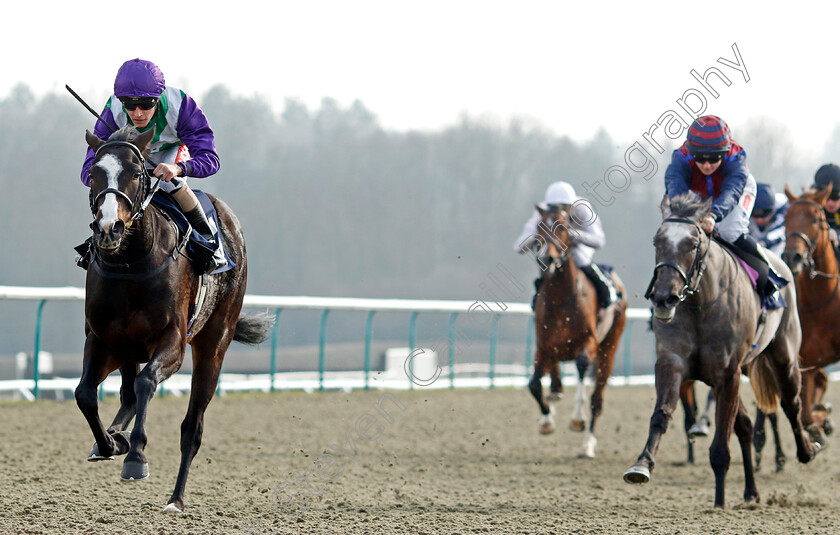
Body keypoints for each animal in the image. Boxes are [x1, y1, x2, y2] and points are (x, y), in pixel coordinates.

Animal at [75, 126, 272, 516]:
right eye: (95, 174)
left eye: (137, 174)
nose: (109, 228)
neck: (131, 265)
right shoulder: (103, 340)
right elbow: (86, 394)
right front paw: (110, 443)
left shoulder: (172, 342)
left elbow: (146, 384)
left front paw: (135, 457)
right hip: (128, 348)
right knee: (125, 394)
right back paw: (117, 435)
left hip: (214, 343)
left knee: (191, 427)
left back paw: (175, 499)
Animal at [528, 203, 628, 458]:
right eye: (539, 227)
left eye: (563, 227)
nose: (547, 257)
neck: (561, 299)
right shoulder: (543, 347)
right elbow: (533, 384)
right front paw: (547, 420)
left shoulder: (588, 343)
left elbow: (582, 368)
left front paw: (576, 419)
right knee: (556, 384)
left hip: (609, 348)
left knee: (597, 399)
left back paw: (587, 444)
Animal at [628, 195, 816, 508]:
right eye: (657, 241)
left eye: (693, 244)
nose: (664, 297)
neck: (700, 303)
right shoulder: (672, 361)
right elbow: (661, 414)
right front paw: (642, 465)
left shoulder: (727, 373)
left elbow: (720, 443)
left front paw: (718, 502)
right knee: (746, 425)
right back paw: (751, 491)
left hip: (784, 355)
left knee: (791, 402)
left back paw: (806, 451)